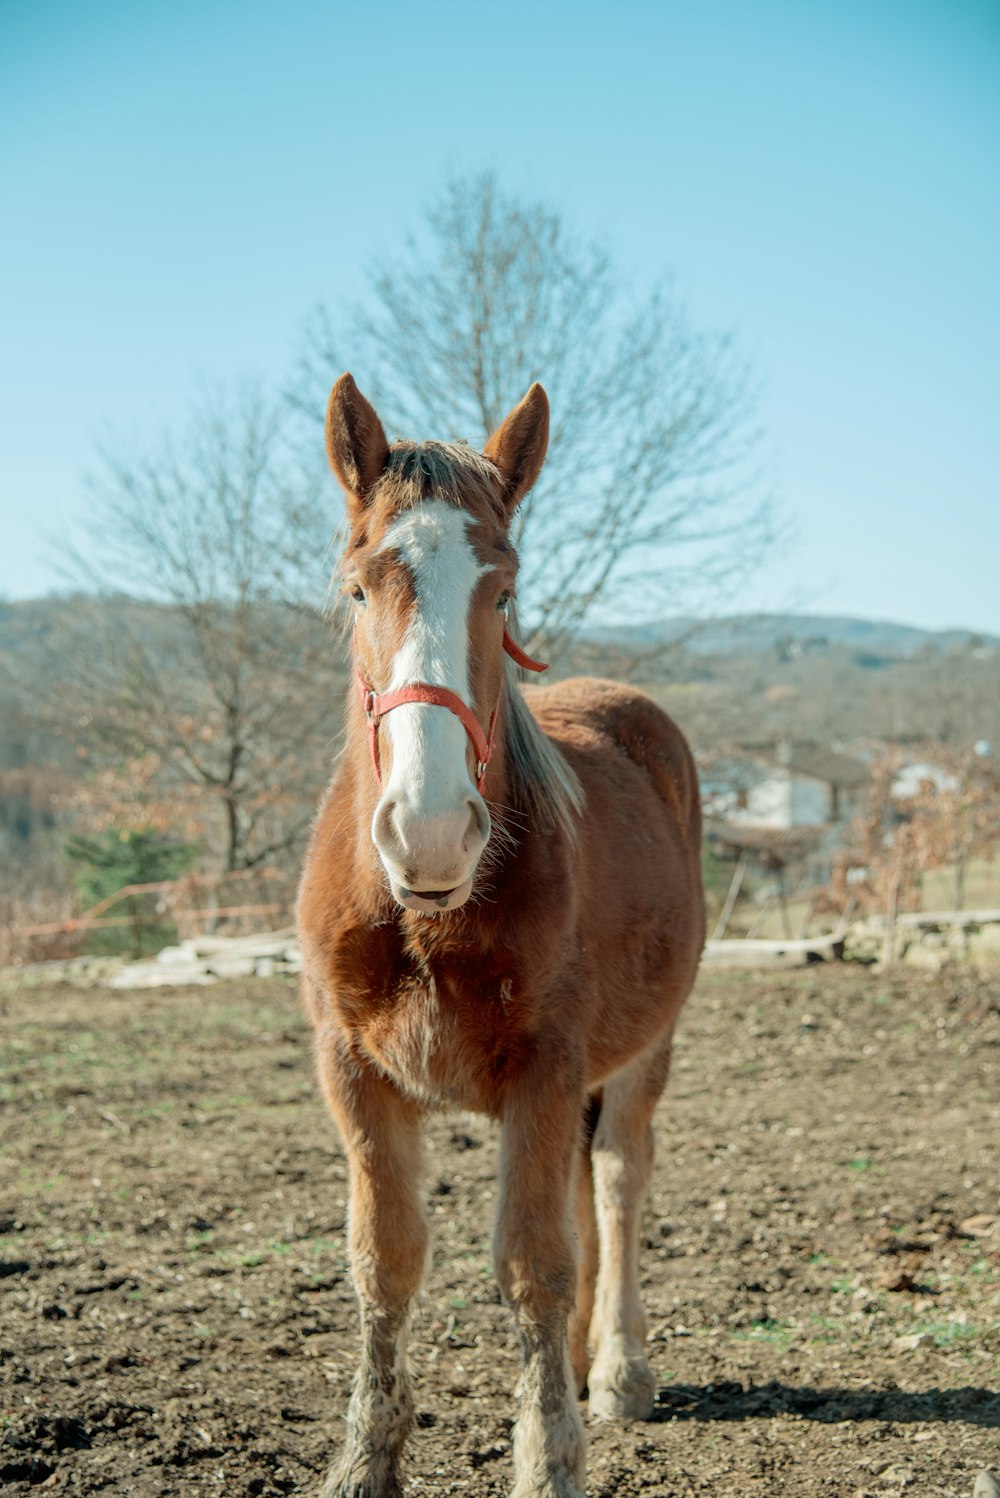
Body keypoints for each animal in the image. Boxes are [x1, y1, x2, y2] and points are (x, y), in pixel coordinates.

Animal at [296, 377, 703, 1498]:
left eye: (504, 593)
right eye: (358, 590)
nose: (430, 828)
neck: (426, 917)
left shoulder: (545, 1070)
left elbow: (532, 1265)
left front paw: (549, 1461)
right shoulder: (355, 1075)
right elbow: (384, 1261)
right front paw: (365, 1458)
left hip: (643, 1050)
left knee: (616, 1179)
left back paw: (616, 1368)